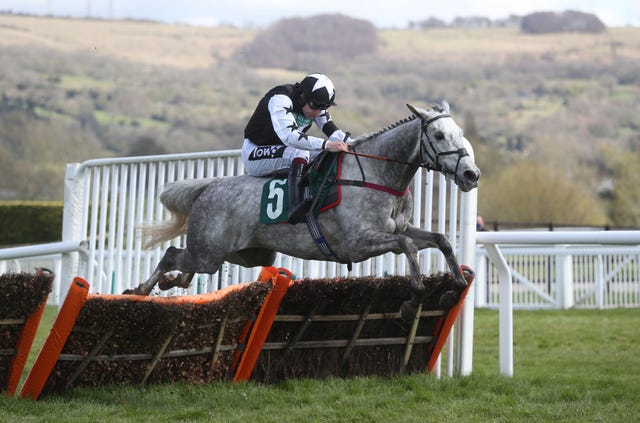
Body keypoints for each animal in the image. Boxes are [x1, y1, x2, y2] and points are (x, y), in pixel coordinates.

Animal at [129, 104, 480, 312]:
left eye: (462, 133)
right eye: (438, 135)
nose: (470, 174)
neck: (379, 173)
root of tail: (208, 187)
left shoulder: (398, 229)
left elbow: (441, 241)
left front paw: (455, 289)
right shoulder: (359, 243)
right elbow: (408, 246)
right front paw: (415, 297)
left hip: (246, 254)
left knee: (186, 265)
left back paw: (171, 283)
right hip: (210, 252)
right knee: (172, 254)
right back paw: (142, 288)